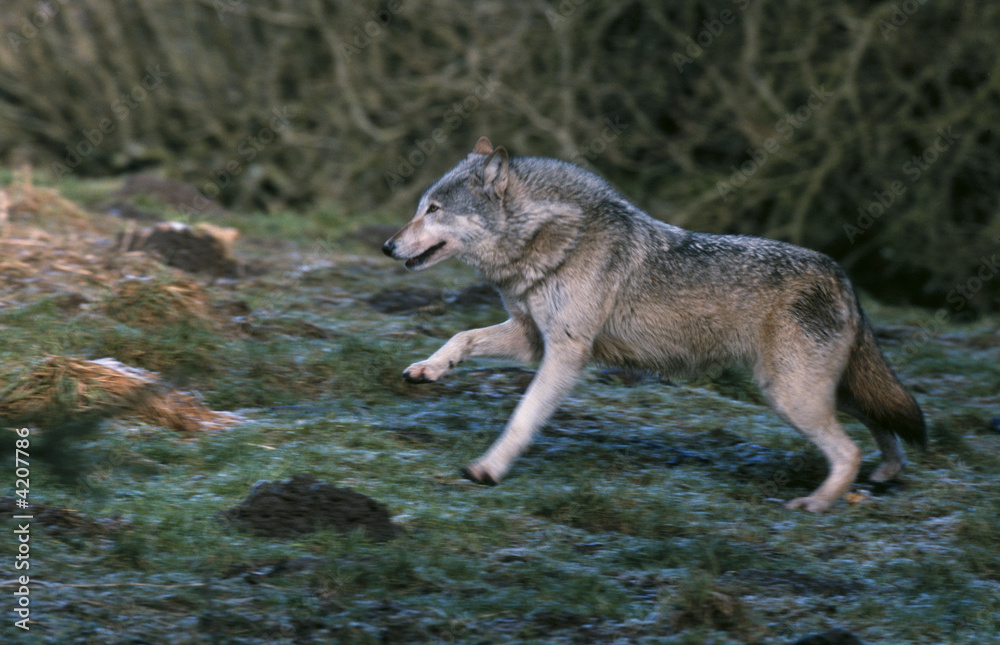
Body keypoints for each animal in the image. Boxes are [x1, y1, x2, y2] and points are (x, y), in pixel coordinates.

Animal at [382, 137, 926, 512]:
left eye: (434, 210)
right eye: (419, 208)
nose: (387, 246)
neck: (555, 238)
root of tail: (842, 276)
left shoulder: (566, 353)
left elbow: (523, 416)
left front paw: (488, 469)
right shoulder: (531, 338)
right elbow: (462, 337)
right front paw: (428, 369)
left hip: (790, 395)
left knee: (849, 450)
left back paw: (817, 503)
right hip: (823, 389)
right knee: (882, 423)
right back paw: (887, 472)